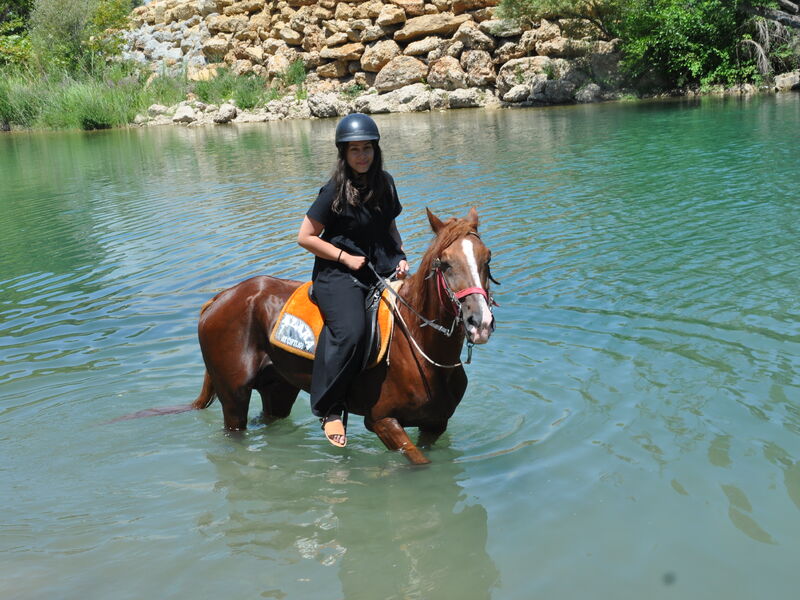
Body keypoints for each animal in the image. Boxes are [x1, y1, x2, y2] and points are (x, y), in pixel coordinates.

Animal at [192, 206, 494, 464]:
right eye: (445, 263)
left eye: (487, 258)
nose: (479, 322)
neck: (421, 352)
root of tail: (220, 298)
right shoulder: (383, 422)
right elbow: (420, 463)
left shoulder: (435, 423)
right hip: (233, 396)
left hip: (278, 388)